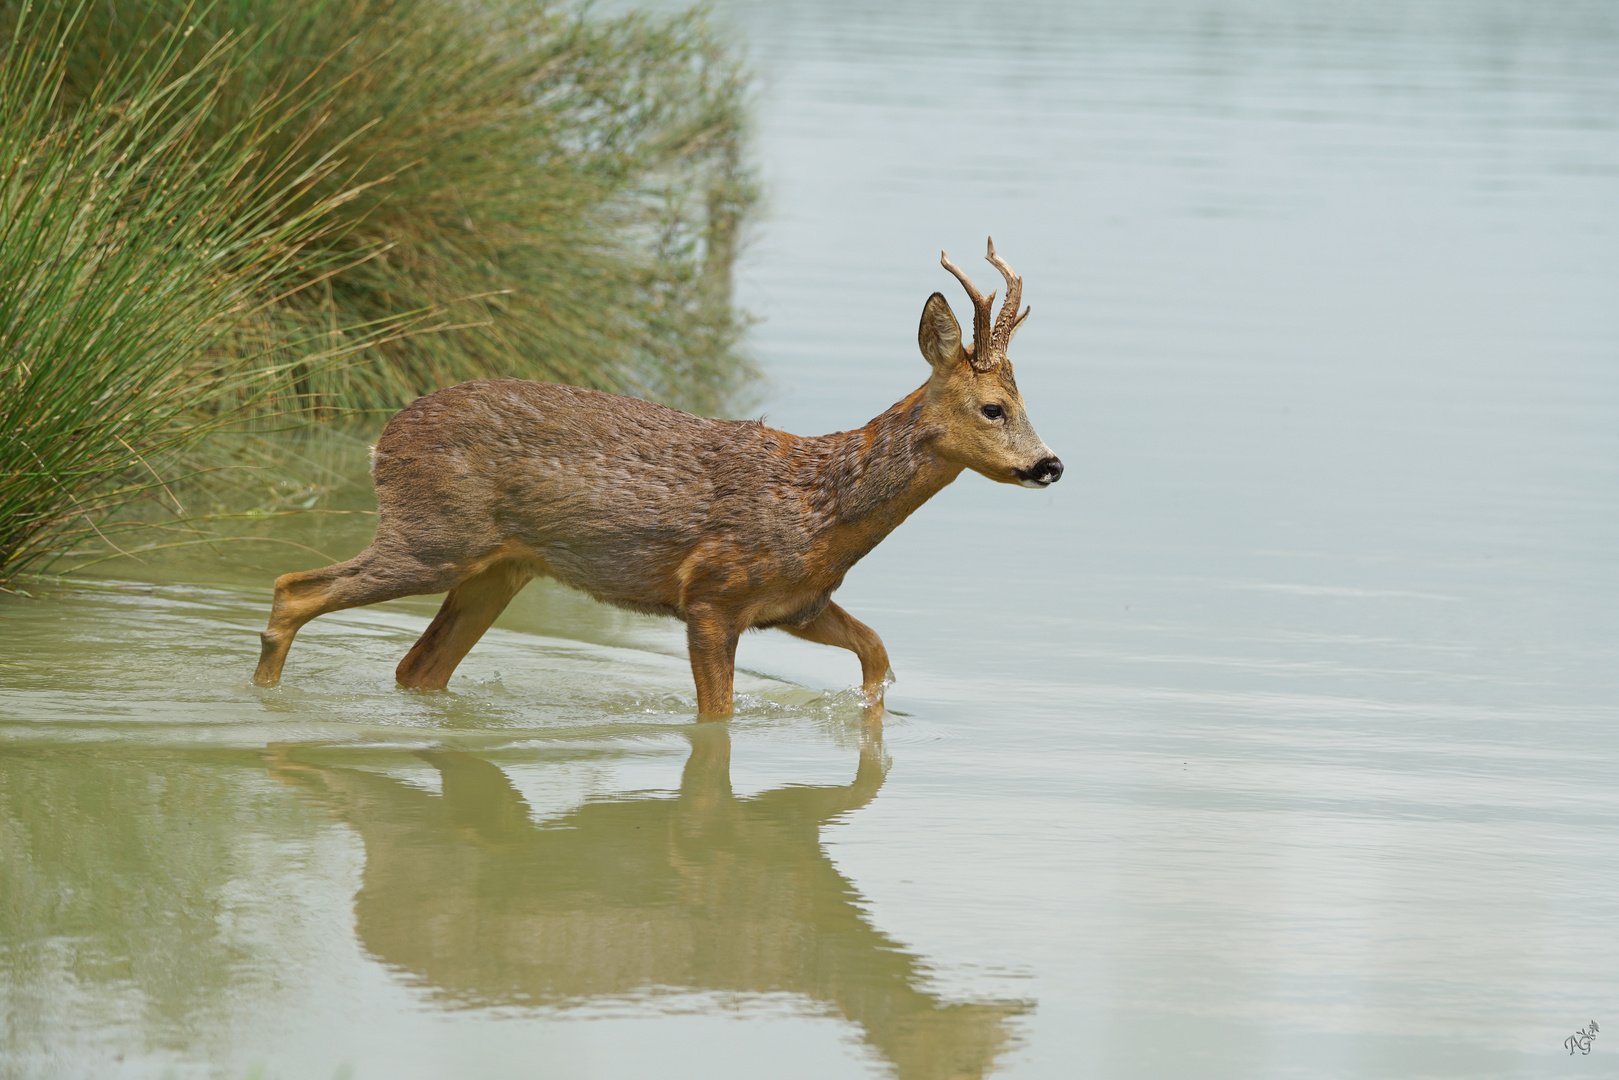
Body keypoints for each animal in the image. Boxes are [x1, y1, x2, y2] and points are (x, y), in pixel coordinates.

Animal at [249, 242, 1062, 718]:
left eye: (1027, 402)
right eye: (992, 407)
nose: (1048, 464)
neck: (821, 506)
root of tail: (383, 437)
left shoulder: (797, 604)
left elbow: (877, 654)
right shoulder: (711, 596)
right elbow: (718, 717)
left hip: (496, 568)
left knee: (416, 668)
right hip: (433, 535)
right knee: (293, 589)